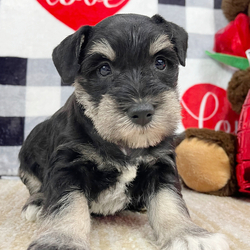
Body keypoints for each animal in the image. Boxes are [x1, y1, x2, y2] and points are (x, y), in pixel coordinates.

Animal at [18, 13, 229, 250]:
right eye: (103, 69)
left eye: (160, 62)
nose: (142, 112)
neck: (125, 144)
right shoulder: (68, 166)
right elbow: (68, 206)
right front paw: (61, 241)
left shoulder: (161, 166)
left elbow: (170, 202)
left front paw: (188, 235)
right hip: (28, 154)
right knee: (36, 186)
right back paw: (37, 203)